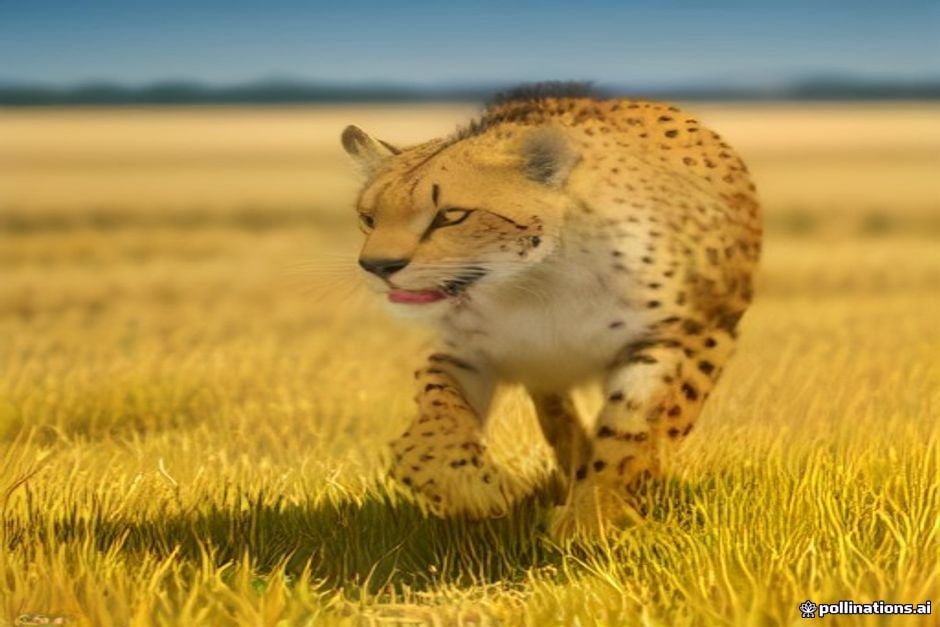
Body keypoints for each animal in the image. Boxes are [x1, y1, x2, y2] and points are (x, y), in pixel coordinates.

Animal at [339, 83, 761, 537]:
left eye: (451, 215)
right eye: (369, 218)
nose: (378, 267)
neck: (538, 280)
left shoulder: (688, 336)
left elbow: (629, 432)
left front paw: (593, 519)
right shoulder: (470, 349)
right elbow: (434, 421)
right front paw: (474, 489)